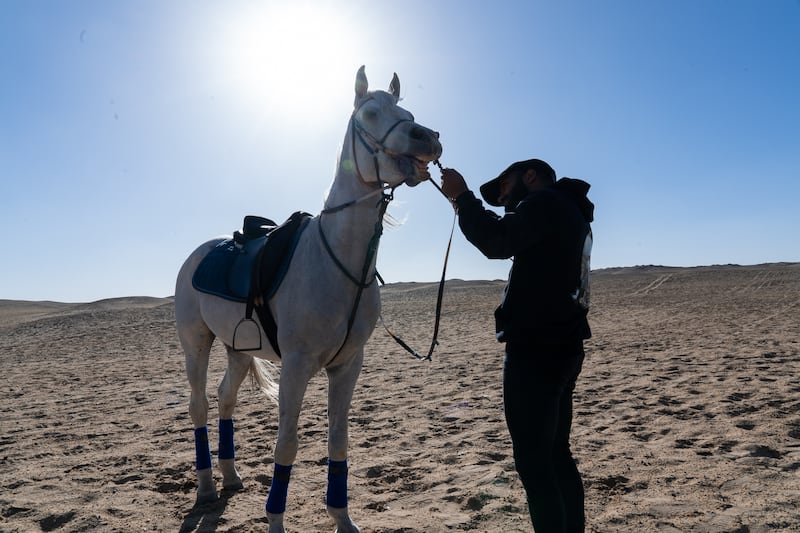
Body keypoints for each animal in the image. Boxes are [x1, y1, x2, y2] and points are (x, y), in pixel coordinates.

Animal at [173, 67, 444, 532]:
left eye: (408, 115)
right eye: (370, 113)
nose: (427, 137)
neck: (335, 259)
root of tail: (201, 252)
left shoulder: (348, 365)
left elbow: (339, 441)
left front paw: (342, 518)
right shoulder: (297, 366)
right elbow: (287, 444)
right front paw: (276, 520)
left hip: (237, 350)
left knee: (225, 398)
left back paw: (230, 476)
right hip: (197, 344)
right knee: (199, 407)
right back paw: (207, 487)